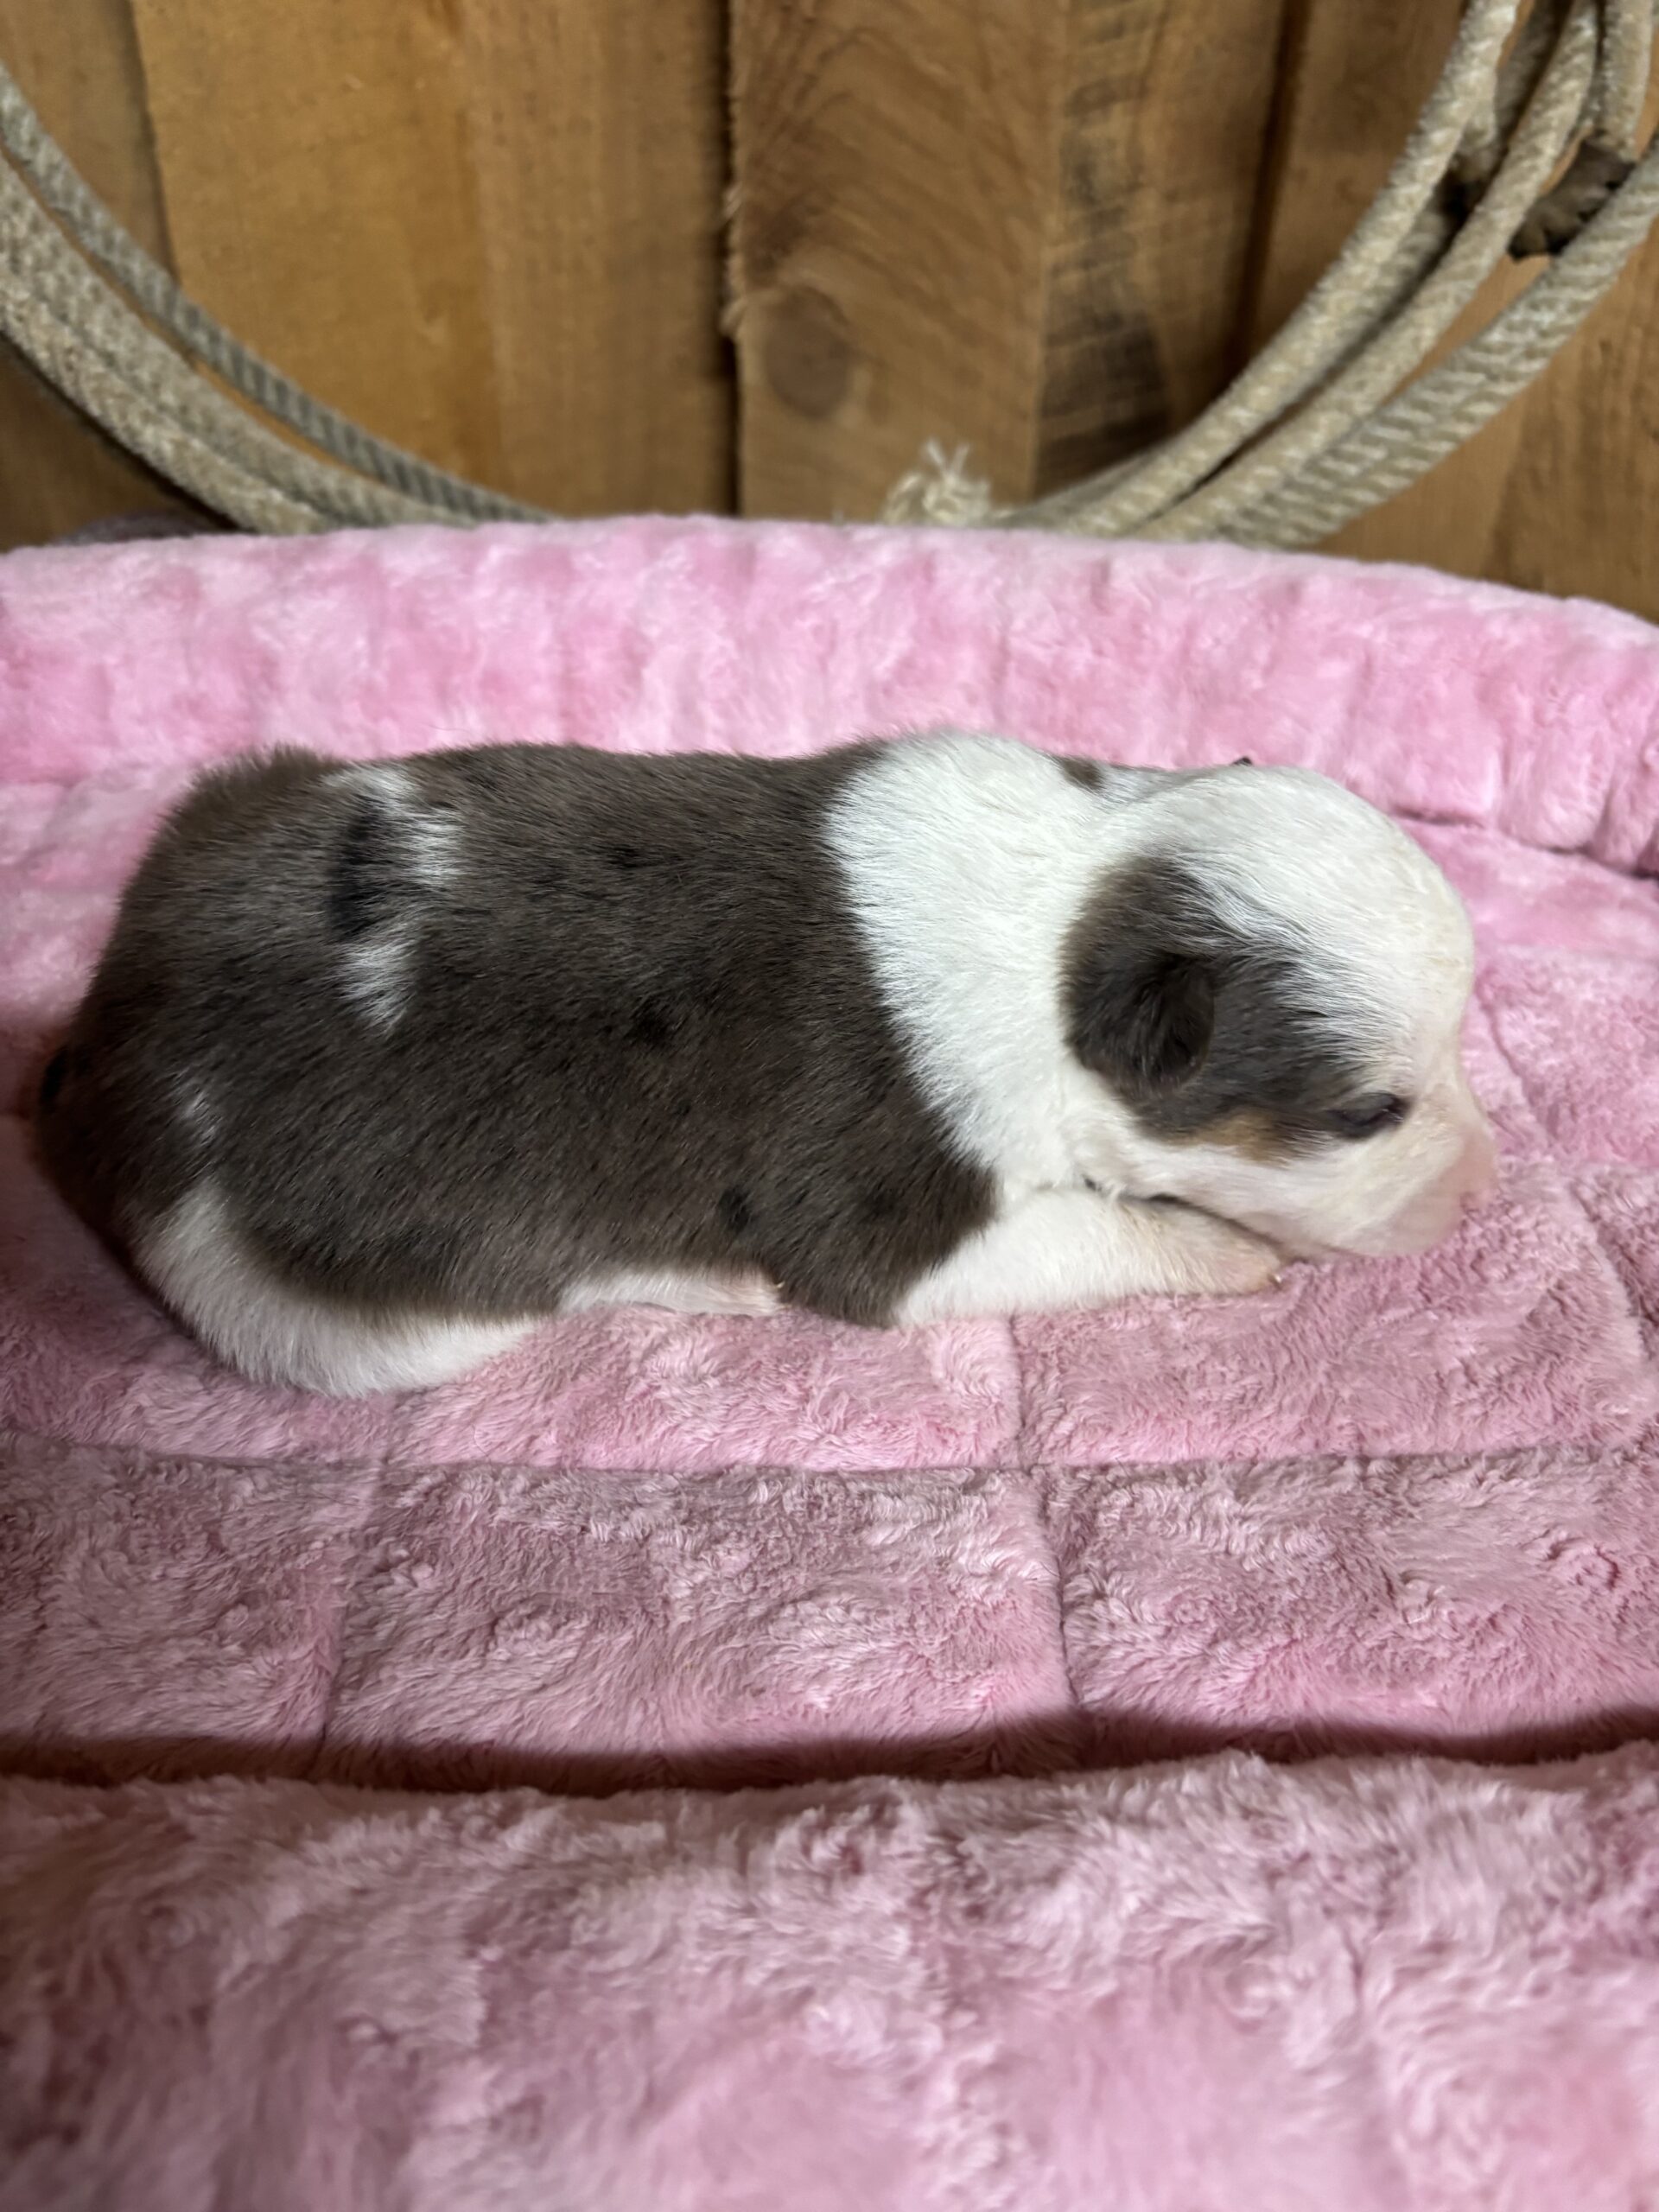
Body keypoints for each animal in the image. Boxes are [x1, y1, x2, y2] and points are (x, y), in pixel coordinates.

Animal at [35, 731, 1495, 1396]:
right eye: (1371, 1112)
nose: (1485, 1192)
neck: (1075, 916)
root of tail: (108, 1043)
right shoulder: (893, 1222)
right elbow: (1092, 1232)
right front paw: (1221, 1247)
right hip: (336, 1318)